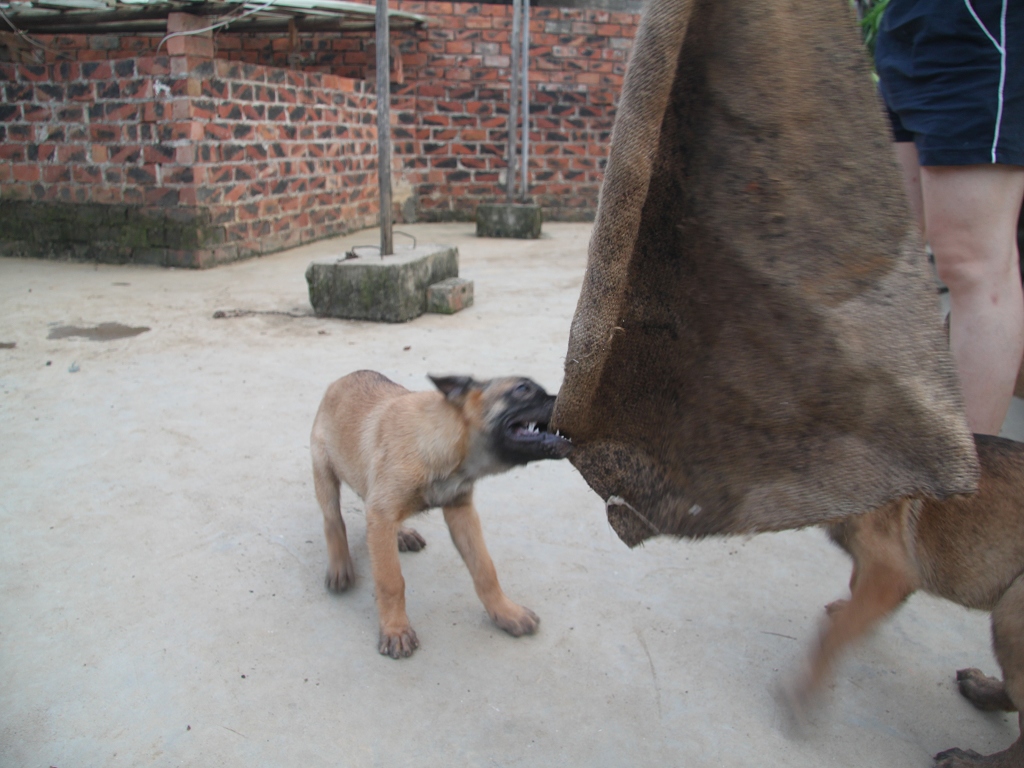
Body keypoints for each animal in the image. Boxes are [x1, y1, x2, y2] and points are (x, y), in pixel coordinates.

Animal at [307, 370, 573, 659]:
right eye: (523, 389)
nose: (564, 401)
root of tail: (347, 377)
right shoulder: (383, 512)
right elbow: (390, 580)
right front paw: (396, 629)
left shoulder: (461, 512)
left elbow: (484, 569)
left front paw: (505, 612)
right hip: (324, 470)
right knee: (333, 520)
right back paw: (340, 565)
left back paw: (400, 534)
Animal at [794, 436, 1024, 765]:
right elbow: (854, 590)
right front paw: (850, 610)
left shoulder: (891, 571)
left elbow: (833, 636)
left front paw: (806, 690)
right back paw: (982, 689)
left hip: (1012, 610)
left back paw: (973, 761)